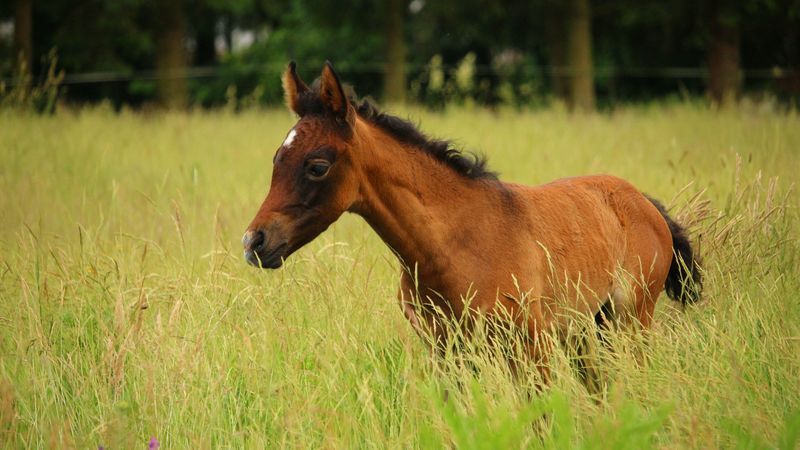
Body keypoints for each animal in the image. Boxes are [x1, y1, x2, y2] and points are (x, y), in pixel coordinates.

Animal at [242, 61, 702, 379]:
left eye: (317, 166)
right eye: (276, 158)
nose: (254, 242)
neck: (451, 246)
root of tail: (645, 203)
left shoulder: (530, 348)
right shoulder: (448, 354)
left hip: (630, 324)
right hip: (589, 333)